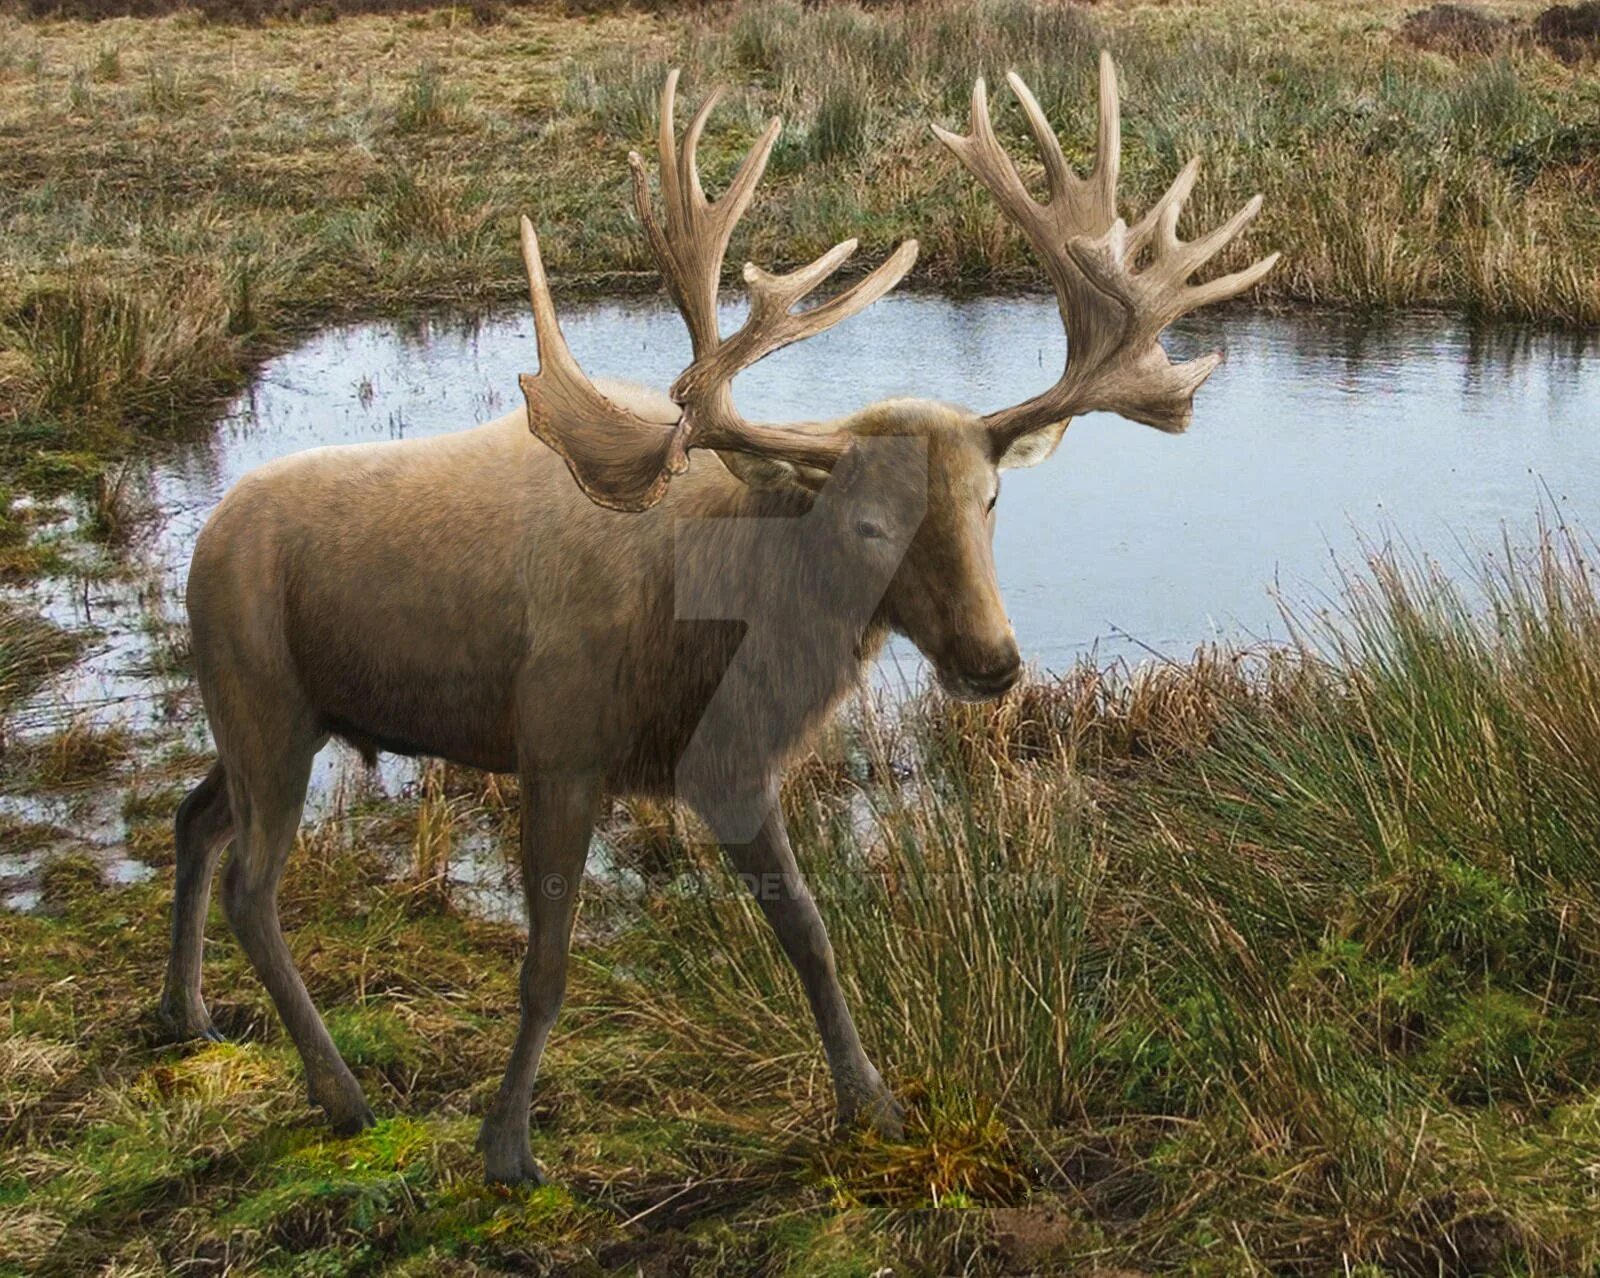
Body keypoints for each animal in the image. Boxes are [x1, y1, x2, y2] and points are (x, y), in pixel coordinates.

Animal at [159, 55, 1273, 1183]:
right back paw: (338, 1092)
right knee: (255, 884)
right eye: (868, 523)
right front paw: (508, 1146)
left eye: (990, 499)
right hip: (261, 698)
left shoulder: (733, 764)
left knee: (193, 817)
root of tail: (203, 544)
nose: (994, 661)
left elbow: (810, 933)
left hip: (266, 712)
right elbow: (547, 964)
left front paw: (873, 1103)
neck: (713, 641)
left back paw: (186, 1013)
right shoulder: (558, 742)